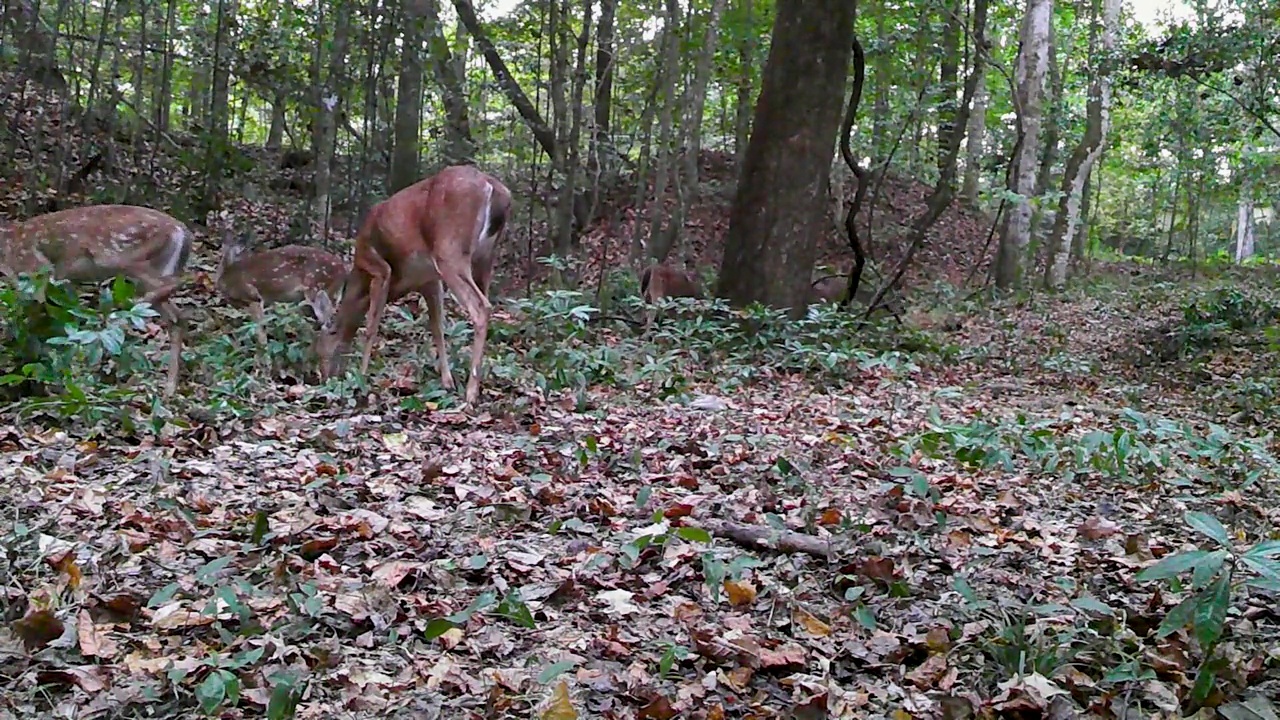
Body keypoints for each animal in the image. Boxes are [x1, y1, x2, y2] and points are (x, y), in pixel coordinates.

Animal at [0, 203, 192, 392]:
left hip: (120, 256)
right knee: (177, 316)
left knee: (175, 284)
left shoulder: (36, 272)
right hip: (156, 265)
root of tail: (181, 230)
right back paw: (169, 388)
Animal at [313, 165, 509, 407]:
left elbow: (371, 327)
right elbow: (437, 327)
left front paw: (362, 377)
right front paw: (447, 381)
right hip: (485, 259)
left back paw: (471, 393)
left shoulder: (379, 268)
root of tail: (493, 187)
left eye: (320, 347)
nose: (324, 378)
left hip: (450, 251)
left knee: (481, 307)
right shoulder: (430, 281)